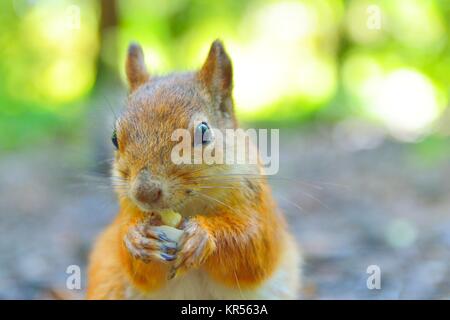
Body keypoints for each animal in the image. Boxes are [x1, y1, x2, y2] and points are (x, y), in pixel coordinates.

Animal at [86, 40, 300, 300]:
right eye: (115, 138)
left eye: (203, 131)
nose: (145, 193)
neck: (189, 207)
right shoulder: (127, 208)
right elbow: (139, 271)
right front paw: (136, 237)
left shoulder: (257, 204)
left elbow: (254, 247)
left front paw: (203, 236)